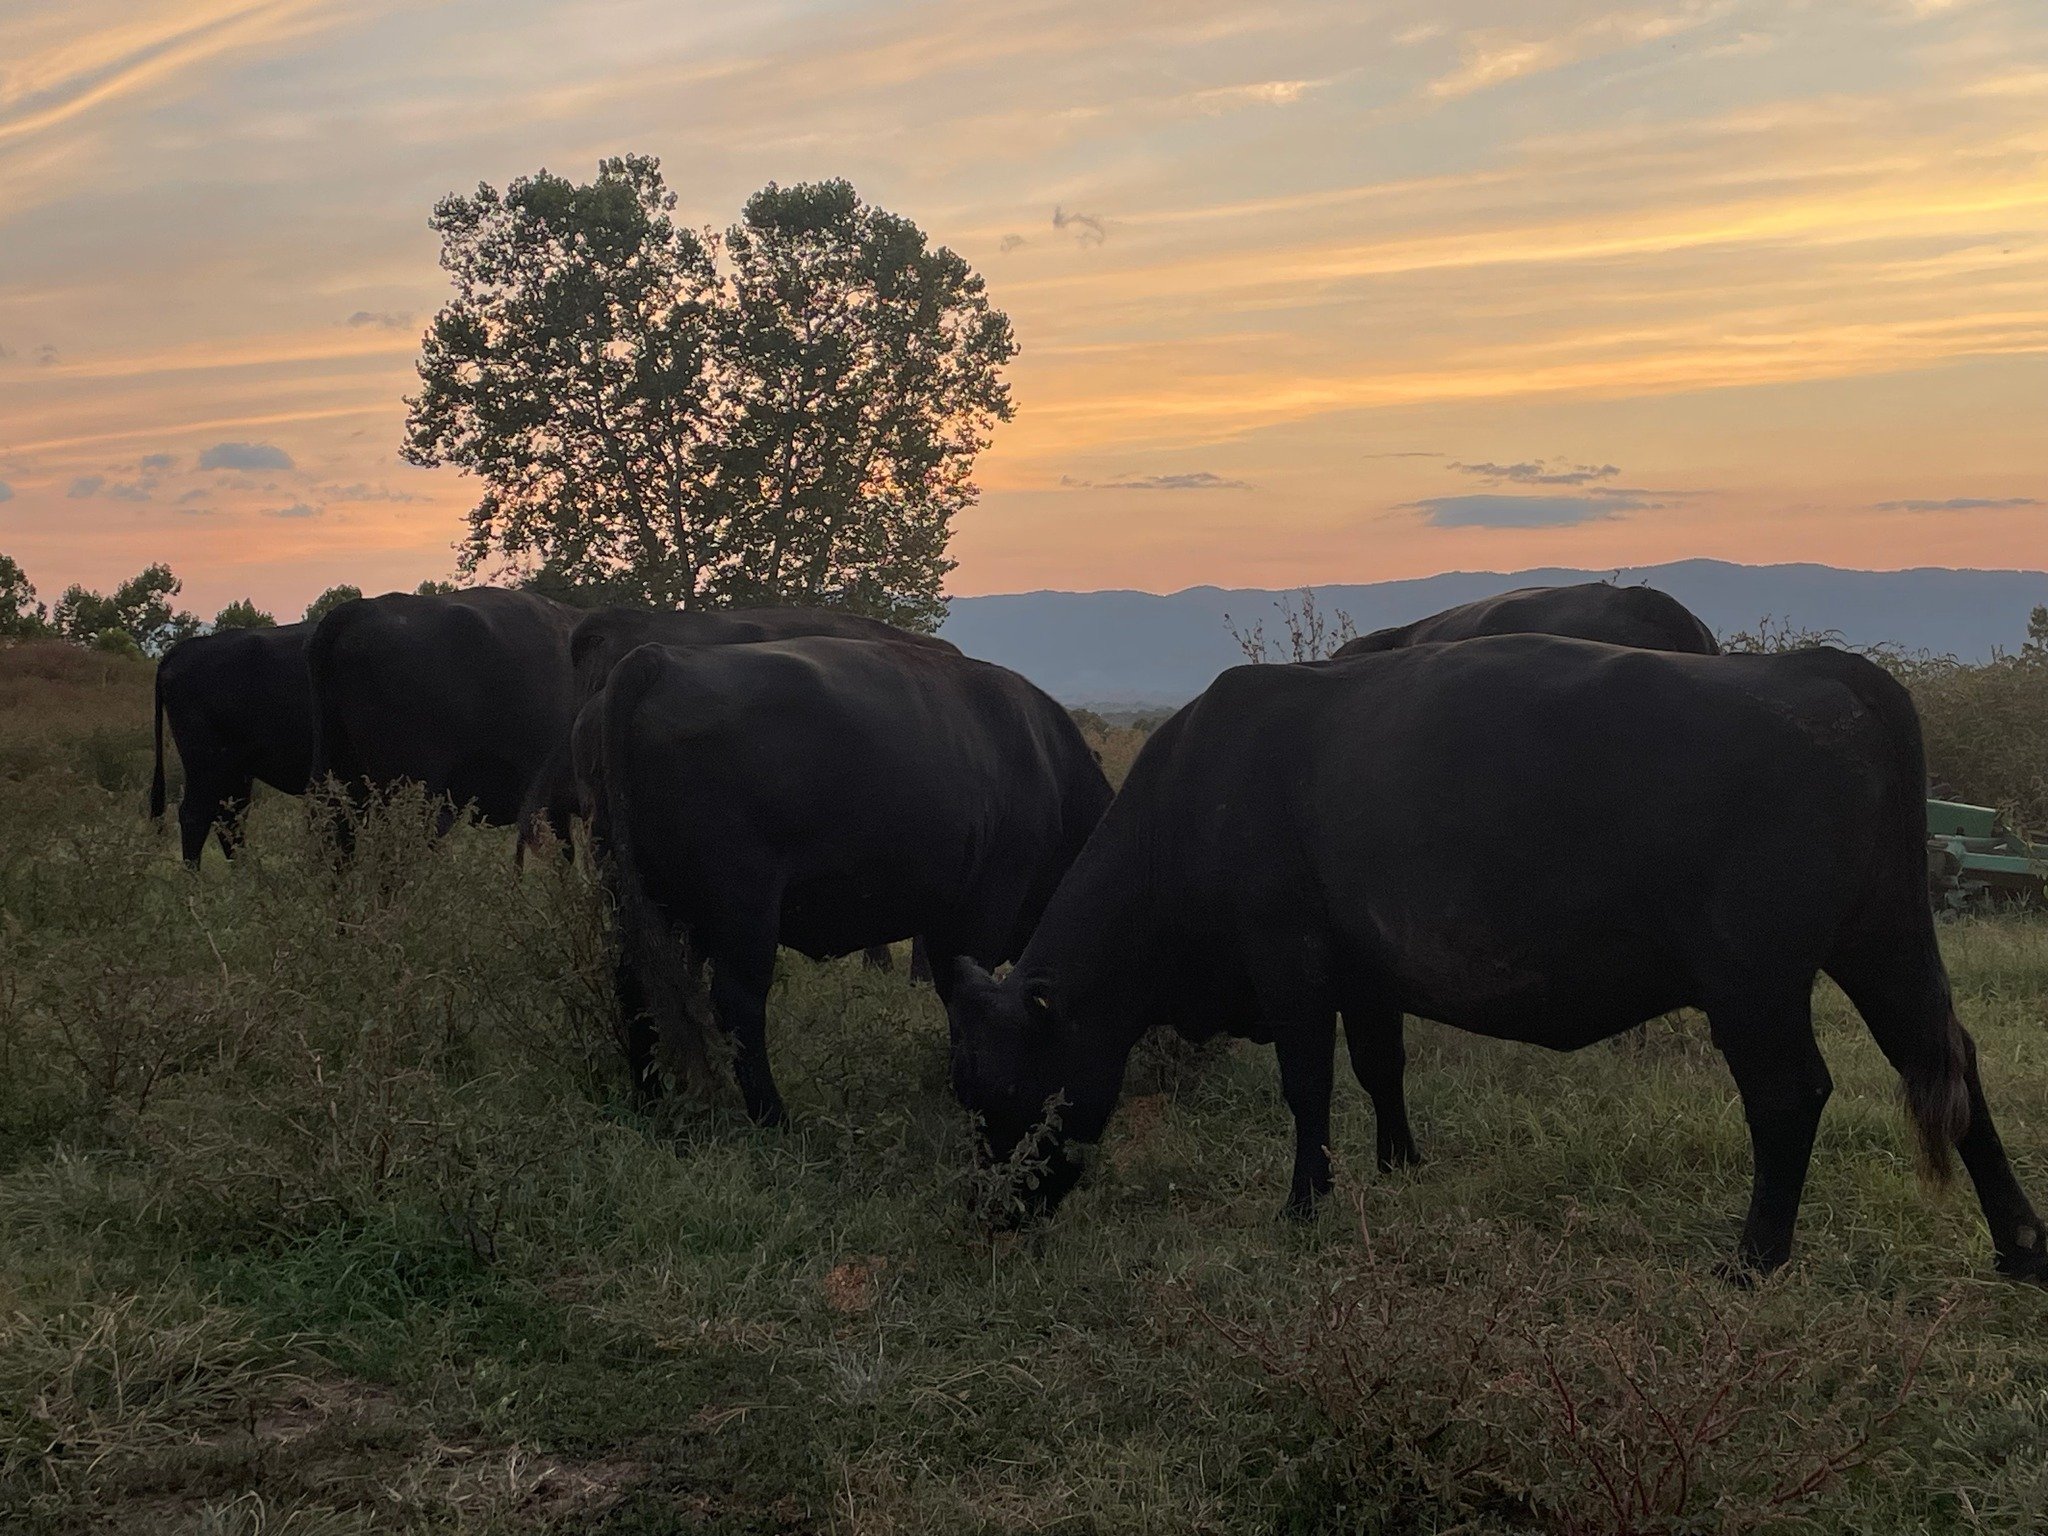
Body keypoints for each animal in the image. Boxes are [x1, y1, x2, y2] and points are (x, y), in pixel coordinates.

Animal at [583, 636, 1114, 1125]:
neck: (1051, 767)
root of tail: (662, 659)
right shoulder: (988, 903)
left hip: (642, 900)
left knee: (634, 986)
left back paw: (651, 1104)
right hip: (743, 909)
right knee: (737, 1002)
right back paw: (774, 1118)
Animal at [946, 637, 2048, 1281]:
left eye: (1006, 1093)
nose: (987, 1218)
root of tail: (1824, 667)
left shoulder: (1287, 951)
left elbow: (1307, 1082)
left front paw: (1303, 1205)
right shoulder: (1365, 969)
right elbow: (1378, 1064)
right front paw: (1398, 1164)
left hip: (1753, 972)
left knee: (1790, 1092)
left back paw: (1753, 1260)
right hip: (1884, 937)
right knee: (1950, 1063)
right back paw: (2020, 1247)